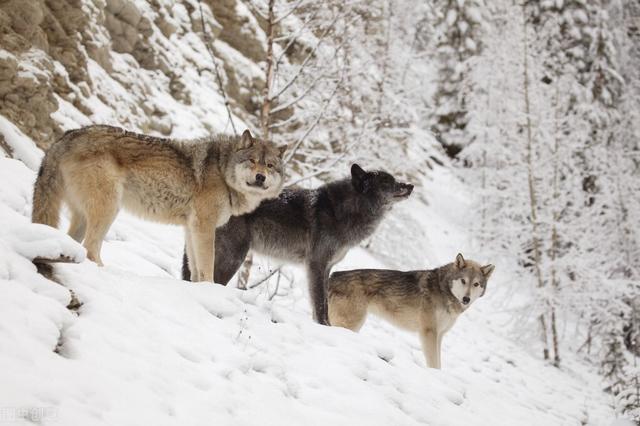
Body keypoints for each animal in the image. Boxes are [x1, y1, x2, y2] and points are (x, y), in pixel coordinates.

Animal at [31, 125, 286, 282]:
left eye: (270, 166)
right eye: (252, 160)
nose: (260, 177)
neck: (223, 172)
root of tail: (68, 135)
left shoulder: (191, 227)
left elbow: (195, 268)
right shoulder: (204, 225)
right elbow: (207, 266)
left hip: (84, 217)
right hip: (109, 209)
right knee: (91, 249)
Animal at [182, 165, 412, 324]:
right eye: (387, 182)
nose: (410, 186)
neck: (345, 211)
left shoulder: (326, 268)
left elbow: (321, 303)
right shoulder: (316, 265)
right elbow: (320, 305)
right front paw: (325, 327)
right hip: (234, 255)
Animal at [328, 255, 498, 368]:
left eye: (476, 284)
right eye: (463, 281)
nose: (466, 299)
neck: (444, 290)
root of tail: (333, 276)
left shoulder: (439, 335)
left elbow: (439, 362)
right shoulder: (429, 332)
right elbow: (434, 363)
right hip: (351, 324)